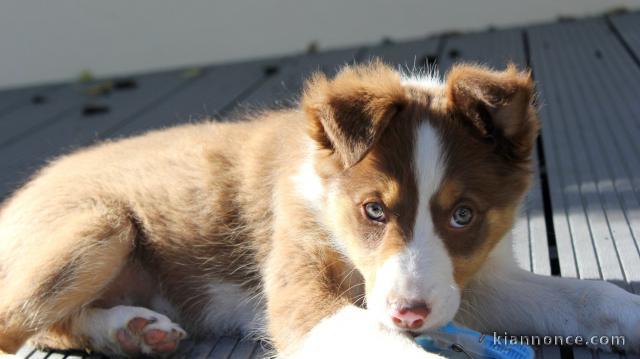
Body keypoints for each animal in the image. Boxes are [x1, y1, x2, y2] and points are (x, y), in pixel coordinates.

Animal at [1, 62, 640, 358]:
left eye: (464, 215)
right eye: (373, 210)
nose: (410, 315)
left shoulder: (468, 281)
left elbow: (591, 298)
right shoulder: (304, 300)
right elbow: (392, 347)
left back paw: (132, 329)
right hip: (99, 224)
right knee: (14, 320)